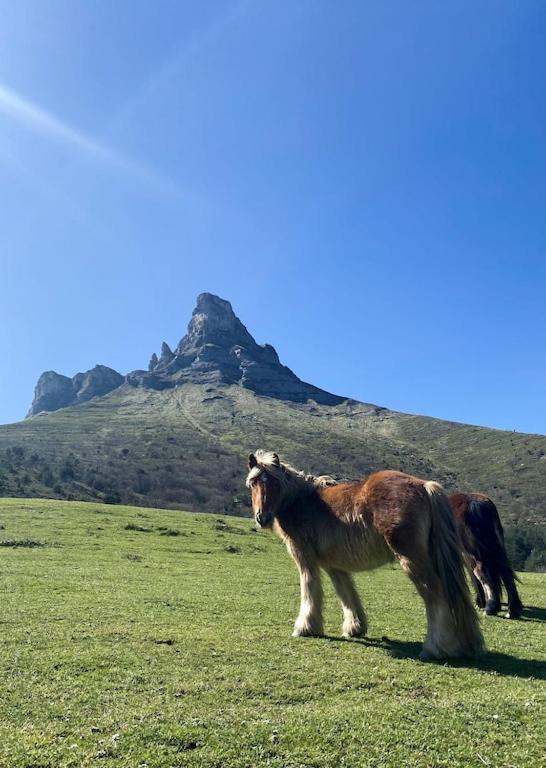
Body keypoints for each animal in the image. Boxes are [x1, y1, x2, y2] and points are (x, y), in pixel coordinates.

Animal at [244, 450, 482, 660]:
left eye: (274, 483)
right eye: (254, 483)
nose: (262, 518)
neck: (300, 500)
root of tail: (425, 486)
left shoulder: (304, 558)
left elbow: (310, 589)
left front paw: (305, 627)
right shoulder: (334, 565)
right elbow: (346, 593)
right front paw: (355, 627)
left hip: (413, 560)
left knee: (437, 595)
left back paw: (434, 648)